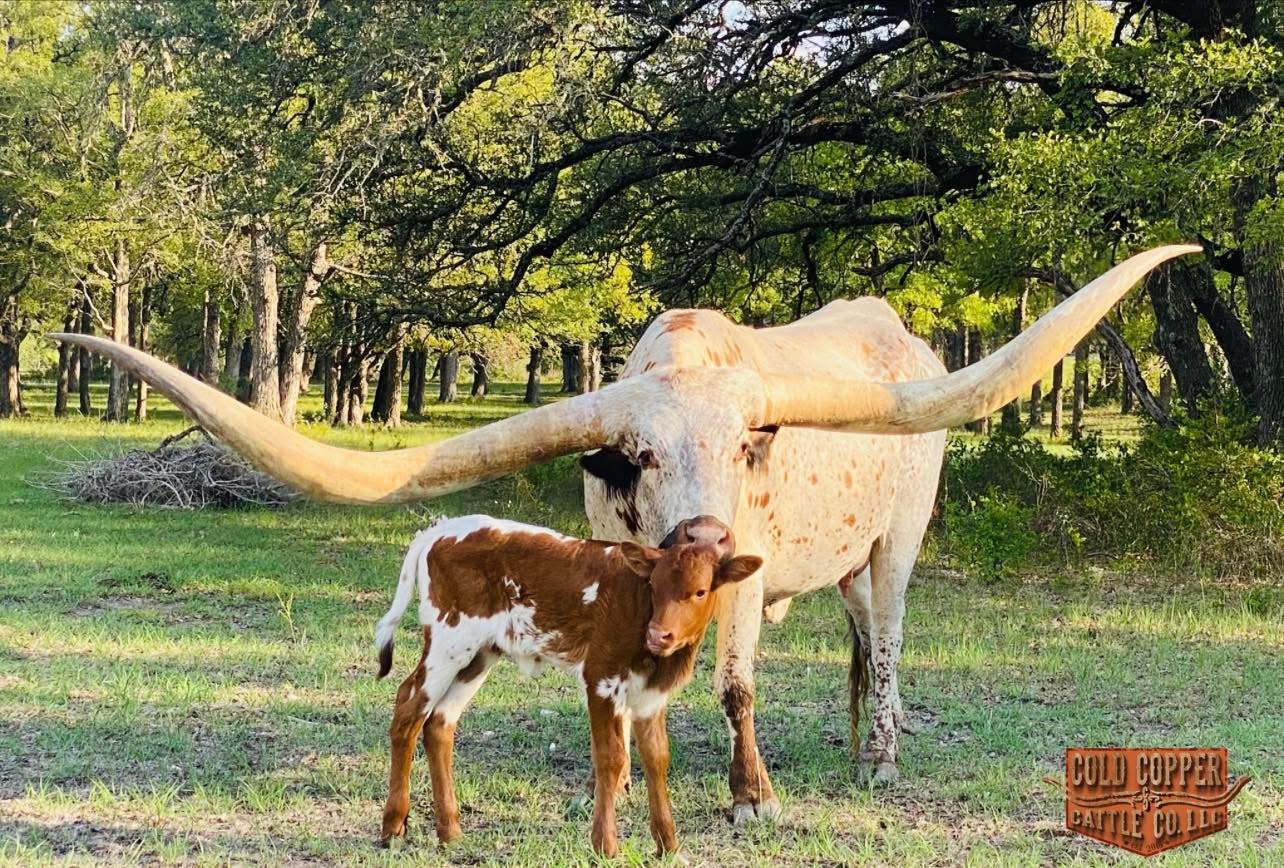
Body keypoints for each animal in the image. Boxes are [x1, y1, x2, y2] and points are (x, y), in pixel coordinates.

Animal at [54, 244, 1201, 820]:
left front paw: (750, 797)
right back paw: (846, 738)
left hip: (897, 543)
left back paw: (876, 753)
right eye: (637, 458)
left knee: (887, 636)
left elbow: (736, 686)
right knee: (858, 639)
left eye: (748, 443)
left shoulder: (748, 585)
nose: (705, 534)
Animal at [374, 513, 762, 857]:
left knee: (440, 723)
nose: (658, 634)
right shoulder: (601, 677)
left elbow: (657, 758)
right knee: (407, 708)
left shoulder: (651, 695)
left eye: (700, 592)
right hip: (449, 641)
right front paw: (605, 846)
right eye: (653, 586)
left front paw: (668, 846)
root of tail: (439, 530)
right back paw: (392, 827)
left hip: (479, 654)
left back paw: (450, 830)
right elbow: (611, 758)